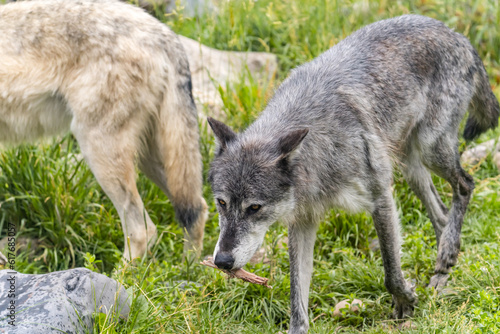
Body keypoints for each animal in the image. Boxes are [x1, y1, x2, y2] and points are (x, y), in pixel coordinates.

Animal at [0, 0, 207, 260]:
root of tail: (164, 34)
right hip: (152, 158)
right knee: (196, 209)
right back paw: (188, 268)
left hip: (98, 149)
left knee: (143, 230)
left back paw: (119, 272)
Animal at [206, 14, 496, 332]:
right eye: (221, 203)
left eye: (254, 208)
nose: (222, 261)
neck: (320, 148)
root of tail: (457, 35)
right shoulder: (303, 222)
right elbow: (297, 296)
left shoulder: (381, 199)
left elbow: (390, 270)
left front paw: (404, 300)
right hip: (411, 167)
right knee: (442, 214)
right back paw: (442, 270)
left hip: (431, 151)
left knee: (466, 185)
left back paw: (445, 256)